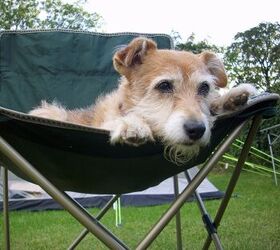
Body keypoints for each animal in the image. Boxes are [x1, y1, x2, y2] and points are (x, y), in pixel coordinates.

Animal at [29, 36, 258, 163]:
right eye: (164, 85)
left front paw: (231, 98)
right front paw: (131, 124)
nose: (197, 129)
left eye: (204, 88)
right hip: (52, 111)